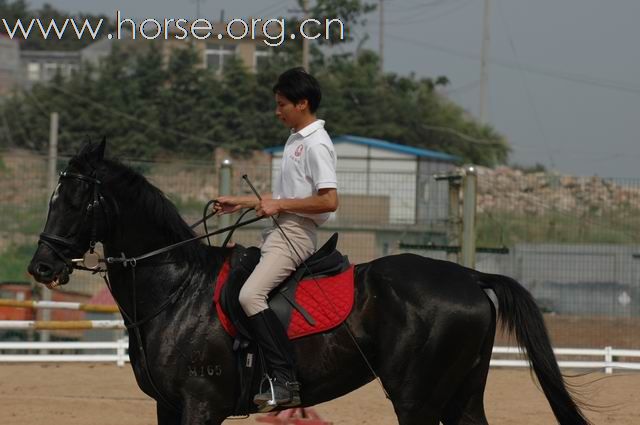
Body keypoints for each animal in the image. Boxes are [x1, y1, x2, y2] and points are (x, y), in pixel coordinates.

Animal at [28, 141, 592, 422]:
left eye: (76, 200)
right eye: (51, 197)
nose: (41, 268)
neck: (174, 293)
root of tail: (471, 276)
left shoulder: (200, 407)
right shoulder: (169, 408)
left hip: (416, 397)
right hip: (463, 392)